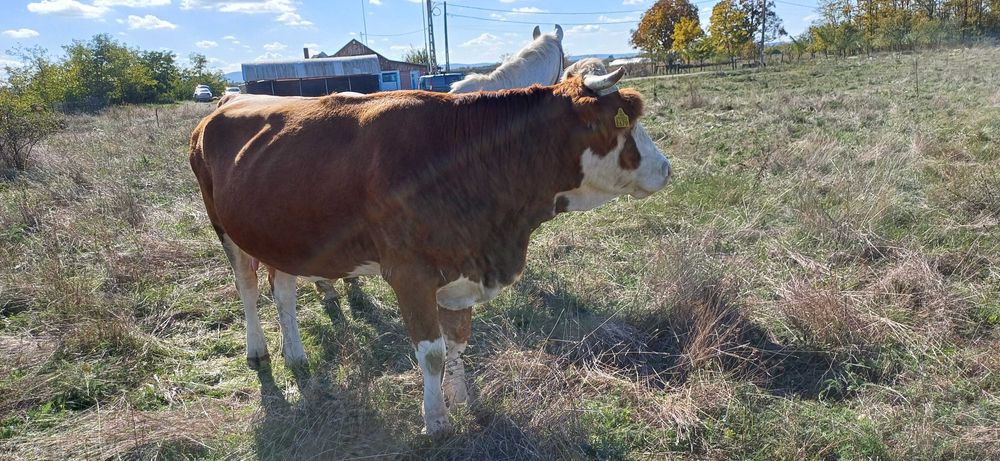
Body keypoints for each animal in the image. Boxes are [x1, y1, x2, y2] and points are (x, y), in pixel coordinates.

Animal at [189, 67, 671, 435]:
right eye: (622, 123)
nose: (666, 168)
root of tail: (228, 101)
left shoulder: (462, 270)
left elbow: (456, 344)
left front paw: (460, 399)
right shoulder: (410, 275)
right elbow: (433, 352)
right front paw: (436, 420)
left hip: (283, 236)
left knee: (283, 290)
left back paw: (295, 353)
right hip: (225, 226)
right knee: (248, 287)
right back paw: (258, 349)